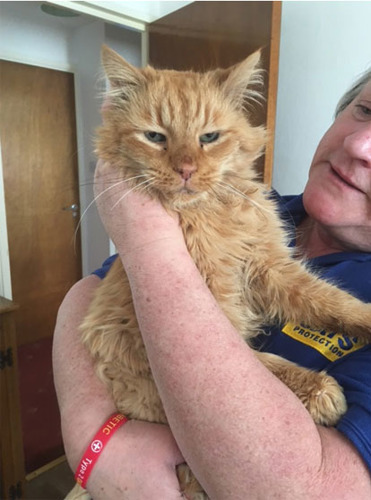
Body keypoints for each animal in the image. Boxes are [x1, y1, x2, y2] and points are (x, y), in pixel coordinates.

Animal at [67, 45, 371, 498]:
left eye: (208, 137)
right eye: (155, 137)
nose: (186, 169)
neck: (211, 215)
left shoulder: (271, 269)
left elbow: (335, 301)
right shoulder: (208, 307)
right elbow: (264, 361)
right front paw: (317, 388)